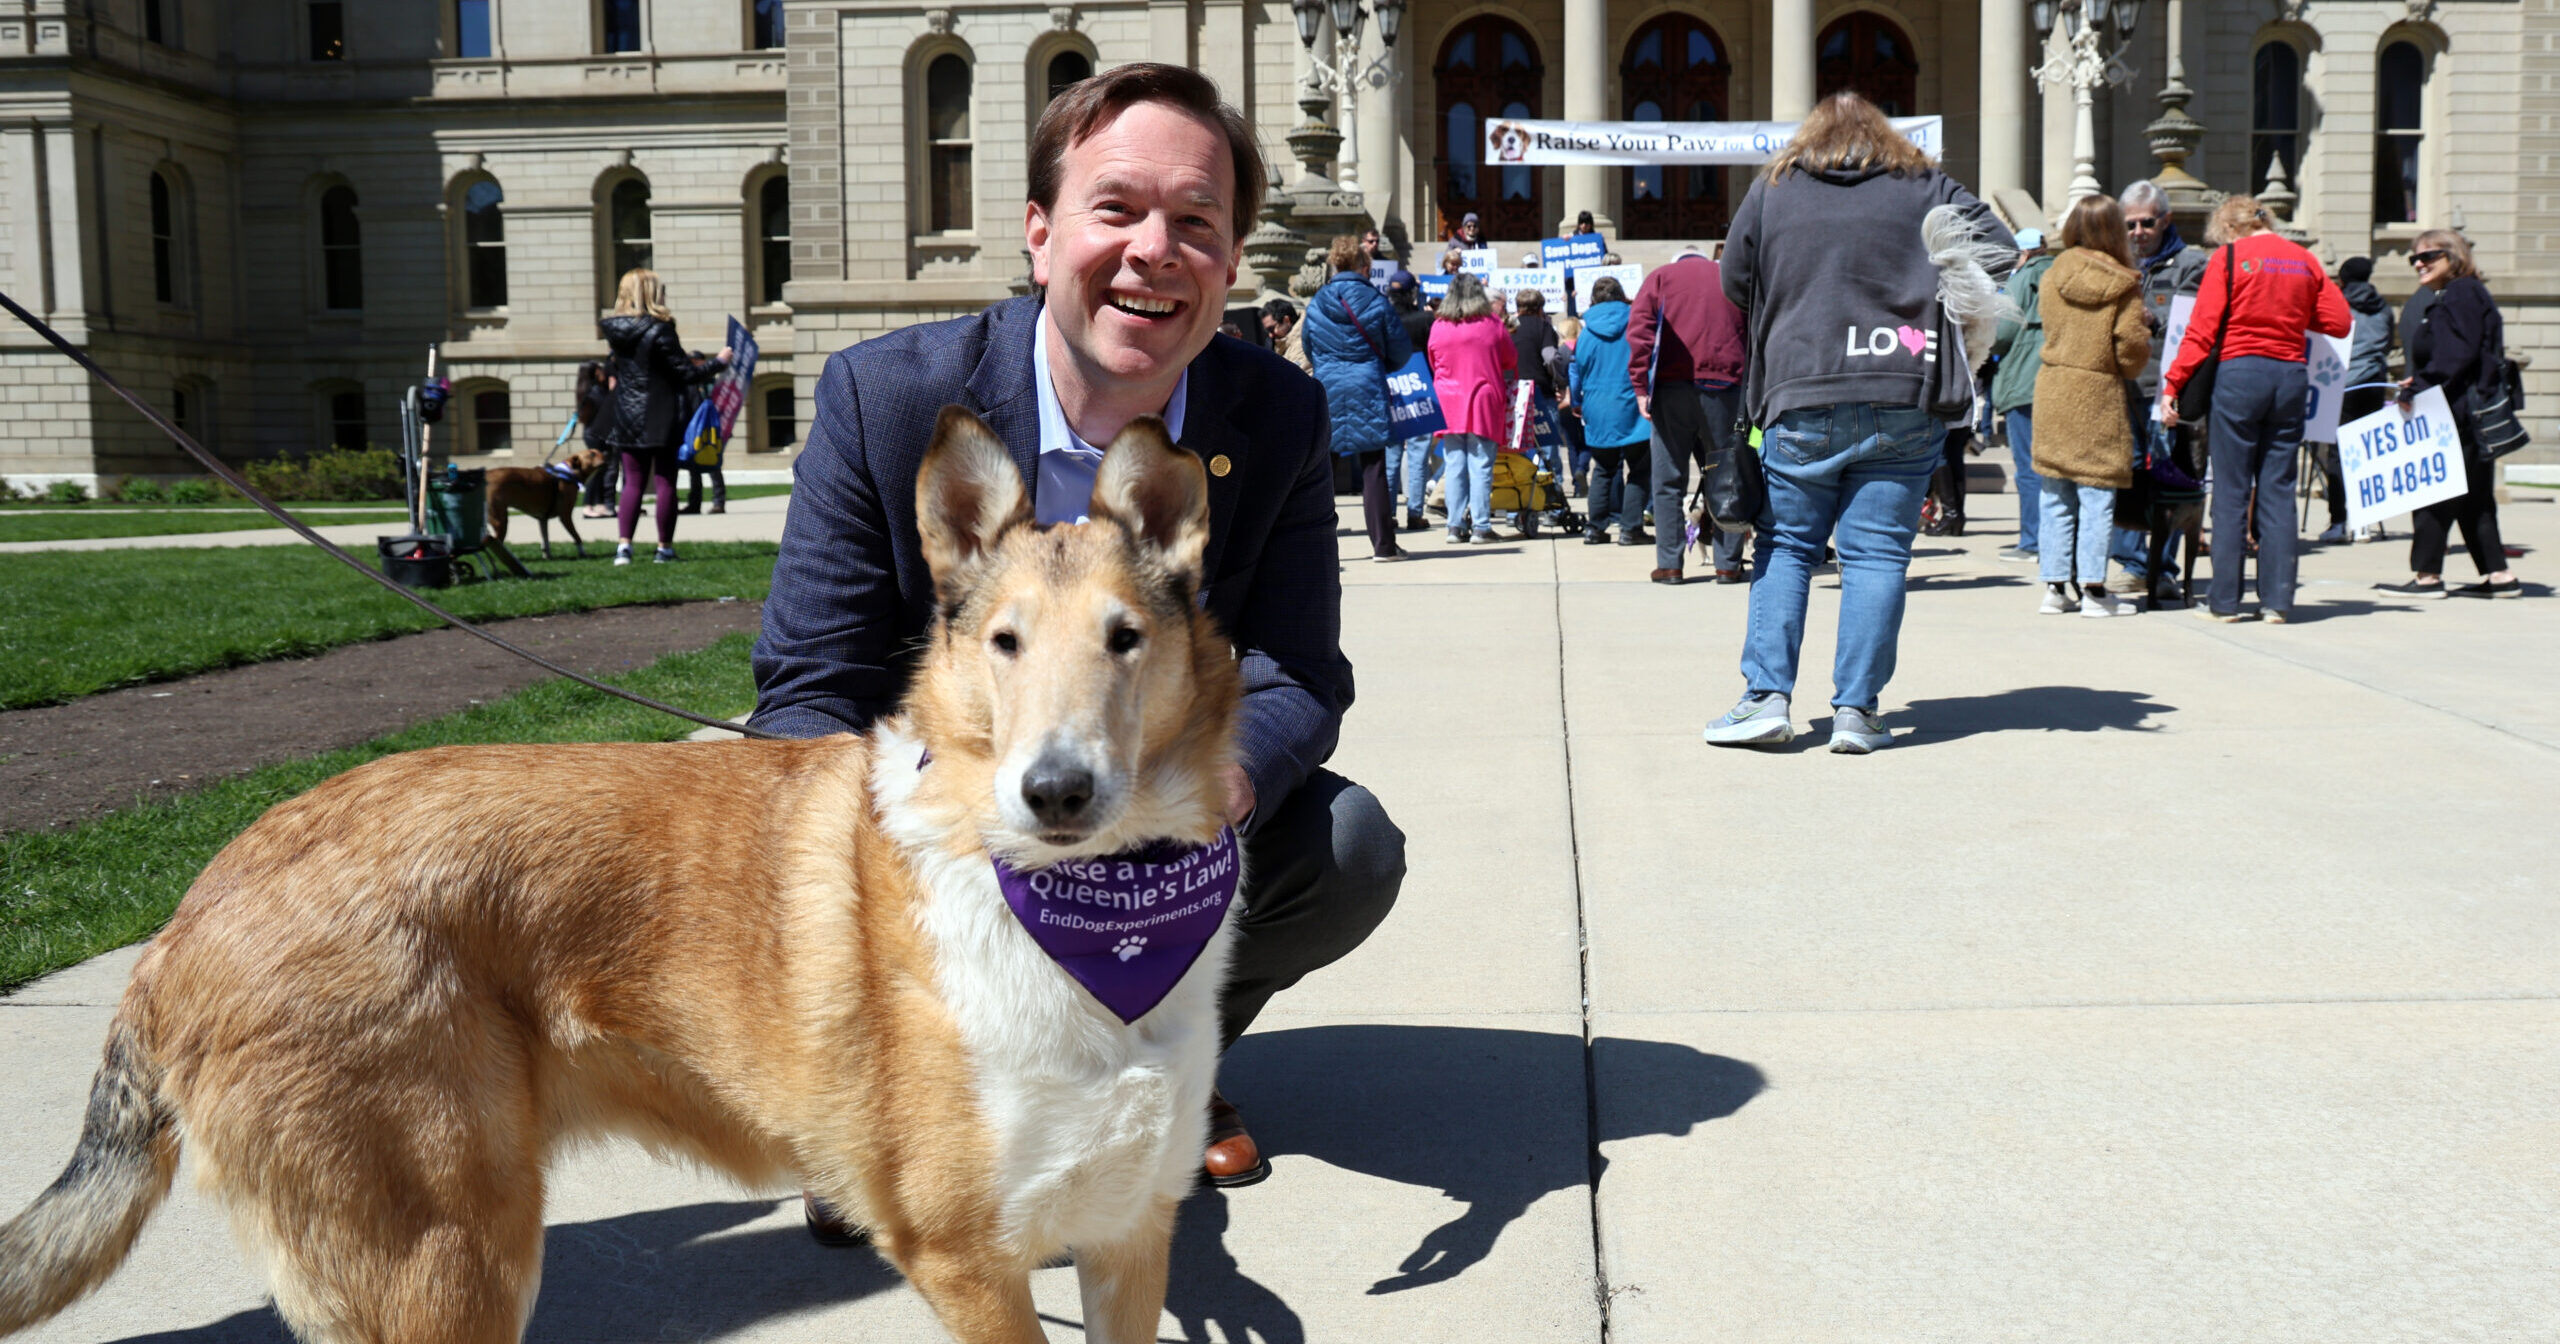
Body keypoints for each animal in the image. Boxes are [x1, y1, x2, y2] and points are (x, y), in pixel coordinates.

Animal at [0, 409, 1244, 1341]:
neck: (1093, 924)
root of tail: (182, 921)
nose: (1056, 793)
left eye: (1126, 638)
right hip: (447, 1269)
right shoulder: (969, 1260)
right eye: (1004, 643)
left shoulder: (1130, 1236)